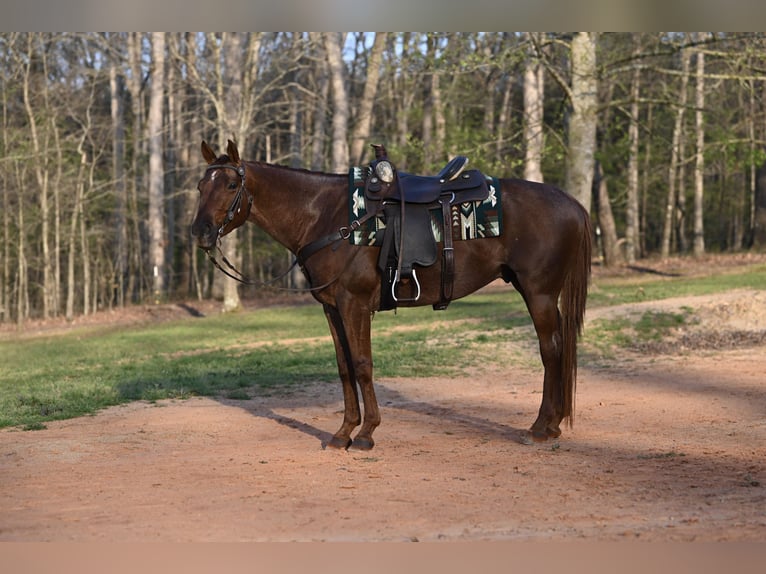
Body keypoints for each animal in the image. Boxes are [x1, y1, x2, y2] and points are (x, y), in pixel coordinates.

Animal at [191, 139, 592, 450]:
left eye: (231, 184)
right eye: (199, 185)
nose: (200, 231)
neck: (327, 217)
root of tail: (571, 203)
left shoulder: (354, 304)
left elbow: (362, 365)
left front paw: (366, 433)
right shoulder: (332, 308)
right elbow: (344, 367)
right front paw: (343, 432)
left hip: (539, 294)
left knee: (551, 351)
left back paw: (541, 427)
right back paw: (552, 424)